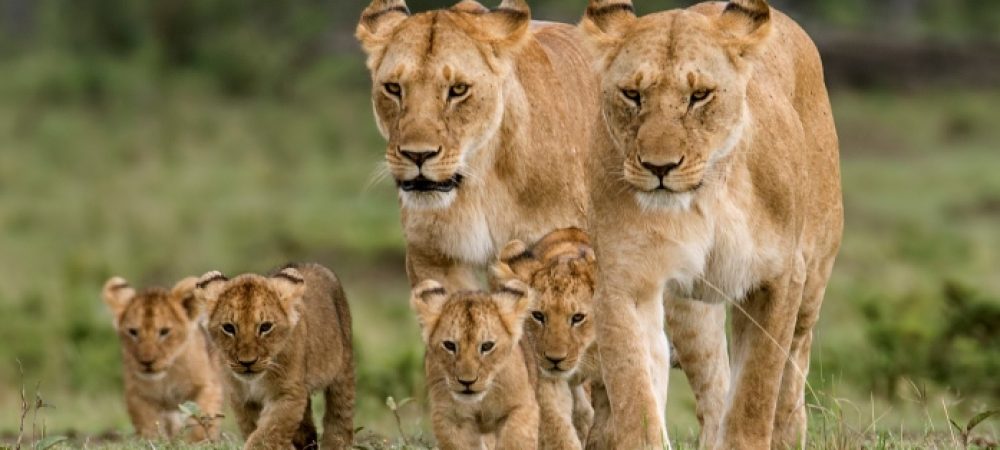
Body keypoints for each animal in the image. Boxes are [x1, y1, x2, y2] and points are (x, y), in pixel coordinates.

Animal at [102, 276, 223, 442]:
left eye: (164, 331)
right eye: (133, 331)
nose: (146, 362)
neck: (165, 378)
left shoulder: (207, 385)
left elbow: (202, 417)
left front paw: (198, 442)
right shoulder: (137, 395)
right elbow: (148, 425)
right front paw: (154, 442)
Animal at [194, 263, 355, 449]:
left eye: (265, 327)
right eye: (228, 327)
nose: (247, 362)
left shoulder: (288, 393)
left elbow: (267, 434)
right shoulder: (242, 398)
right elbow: (256, 430)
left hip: (343, 370)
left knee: (340, 415)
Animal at [410, 278, 539, 450]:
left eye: (487, 346)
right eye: (449, 345)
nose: (467, 382)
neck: (481, 402)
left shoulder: (522, 406)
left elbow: (513, 441)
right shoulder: (451, 417)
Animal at [580, 0, 843, 449]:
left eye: (699, 96)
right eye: (632, 94)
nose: (660, 167)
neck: (703, 199)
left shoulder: (778, 278)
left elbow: (757, 389)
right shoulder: (624, 282)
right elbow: (635, 393)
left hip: (814, 276)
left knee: (795, 359)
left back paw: (790, 431)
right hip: (690, 311)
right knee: (714, 388)